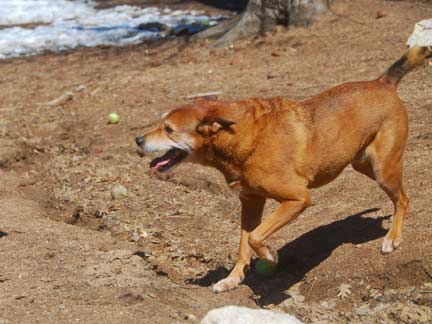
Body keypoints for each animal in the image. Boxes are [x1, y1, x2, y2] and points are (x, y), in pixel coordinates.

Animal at [134, 43, 428, 294]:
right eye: (162, 124)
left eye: (168, 129)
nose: (138, 140)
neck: (243, 138)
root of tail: (383, 82)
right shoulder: (250, 202)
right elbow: (243, 242)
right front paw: (232, 279)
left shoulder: (297, 199)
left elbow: (255, 237)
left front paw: (269, 255)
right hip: (362, 163)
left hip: (383, 169)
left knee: (403, 199)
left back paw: (392, 238)